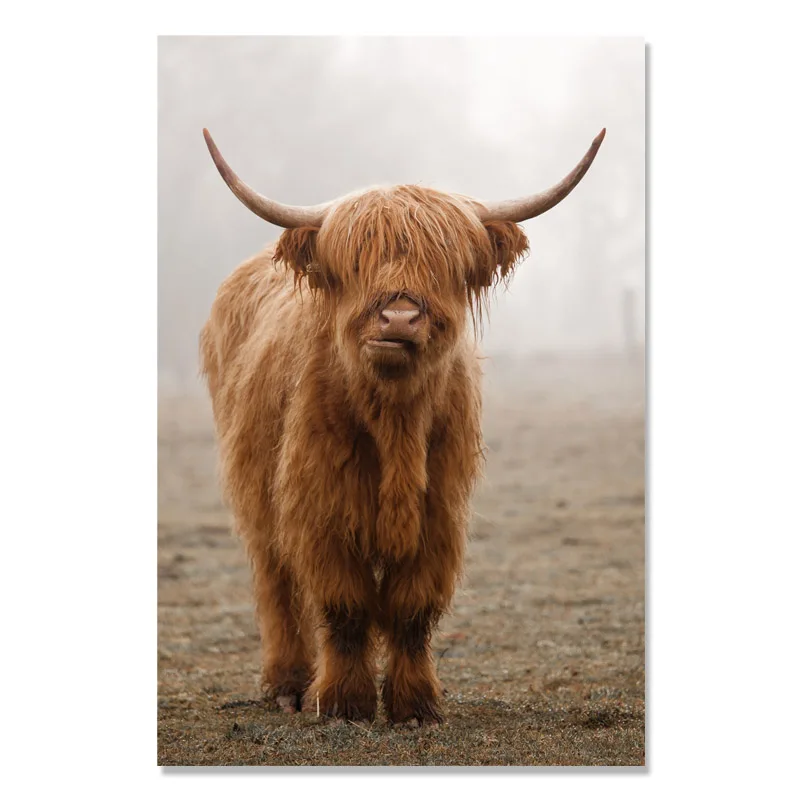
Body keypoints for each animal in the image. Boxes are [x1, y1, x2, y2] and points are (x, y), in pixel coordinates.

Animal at [199, 128, 605, 725]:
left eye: (443, 262)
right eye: (356, 262)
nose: (398, 317)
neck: (395, 424)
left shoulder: (440, 508)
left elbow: (414, 607)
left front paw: (414, 705)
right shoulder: (320, 504)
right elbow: (343, 605)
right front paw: (343, 703)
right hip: (255, 491)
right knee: (275, 583)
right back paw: (288, 685)